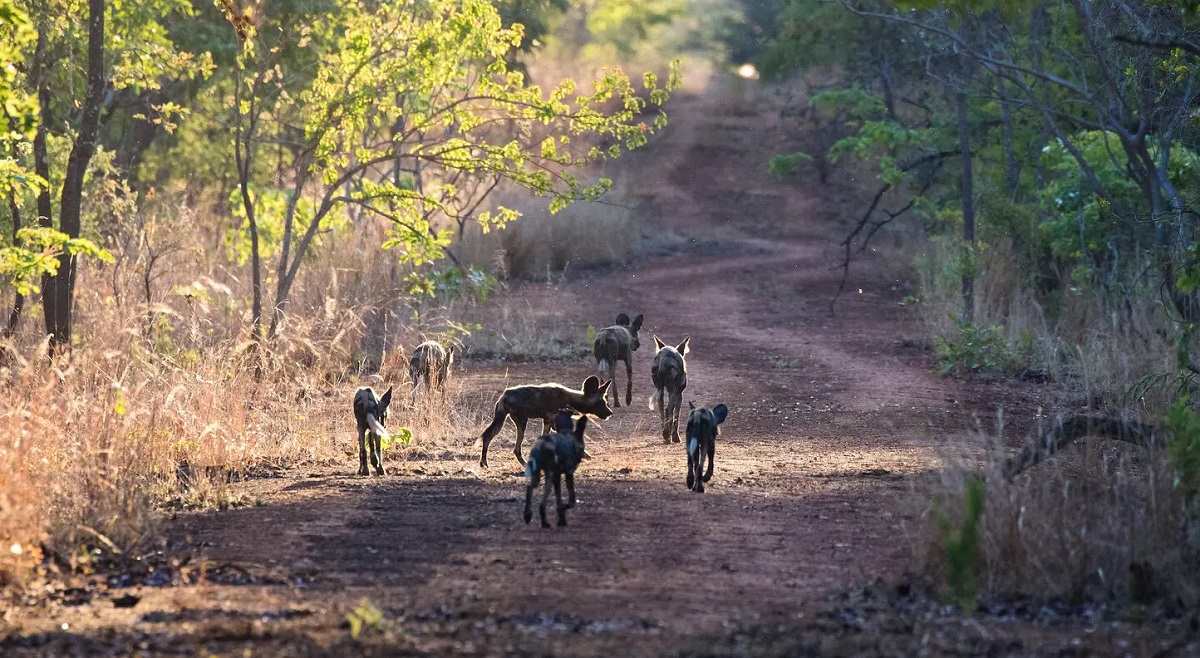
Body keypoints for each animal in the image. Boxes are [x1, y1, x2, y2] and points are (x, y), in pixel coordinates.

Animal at [477, 374, 614, 468]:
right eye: (601, 402)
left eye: (605, 402)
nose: (610, 413)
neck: (571, 399)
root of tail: (503, 396)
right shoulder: (554, 422)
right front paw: (584, 455)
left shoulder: (548, 422)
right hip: (522, 423)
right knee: (516, 448)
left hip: (502, 422)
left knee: (488, 437)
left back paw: (484, 462)